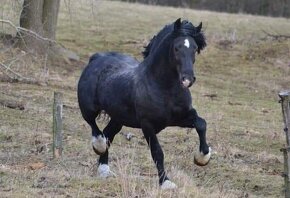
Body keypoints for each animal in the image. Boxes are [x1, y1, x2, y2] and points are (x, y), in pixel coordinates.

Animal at [77, 18, 211, 189]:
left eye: (195, 48)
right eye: (176, 48)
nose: (187, 79)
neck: (164, 87)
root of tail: (96, 58)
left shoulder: (181, 118)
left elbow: (201, 124)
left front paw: (202, 158)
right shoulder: (147, 124)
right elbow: (157, 152)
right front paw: (166, 182)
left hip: (118, 118)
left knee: (107, 134)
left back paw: (104, 169)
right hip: (88, 108)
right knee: (94, 127)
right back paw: (99, 146)